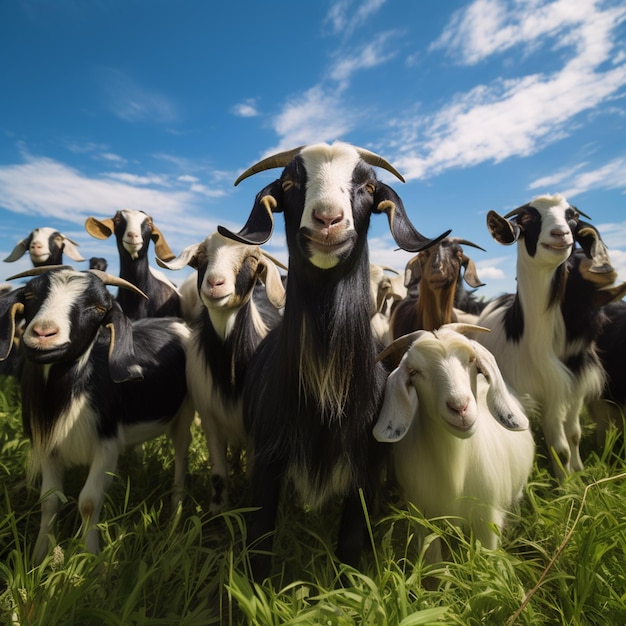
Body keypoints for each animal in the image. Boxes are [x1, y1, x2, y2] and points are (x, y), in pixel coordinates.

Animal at [0, 264, 194, 560]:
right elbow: (50, 501)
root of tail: (175, 323)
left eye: (99, 308)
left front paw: (91, 558)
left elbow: (89, 501)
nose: (44, 333)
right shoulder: (49, 447)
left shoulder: (106, 443)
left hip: (185, 412)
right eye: (30, 295)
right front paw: (40, 555)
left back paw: (176, 510)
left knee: (182, 456)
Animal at [157, 230, 284, 512]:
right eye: (202, 255)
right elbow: (218, 473)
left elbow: (254, 474)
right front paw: (217, 510)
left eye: (252, 259)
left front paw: (248, 507)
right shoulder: (210, 416)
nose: (215, 283)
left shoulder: (258, 425)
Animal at [219, 141, 448, 580]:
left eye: (369, 186)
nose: (328, 220)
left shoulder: (366, 472)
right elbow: (259, 541)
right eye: (289, 184)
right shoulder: (267, 461)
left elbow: (352, 542)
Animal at [370, 324, 532, 560]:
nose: (459, 407)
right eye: (414, 372)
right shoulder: (423, 517)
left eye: (472, 360)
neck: (455, 467)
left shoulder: (488, 519)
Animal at [472, 195, 608, 478]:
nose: (560, 233)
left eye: (573, 217)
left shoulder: (574, 385)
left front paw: (577, 471)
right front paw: (565, 481)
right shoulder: (545, 391)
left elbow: (574, 434)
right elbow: (560, 446)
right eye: (526, 218)